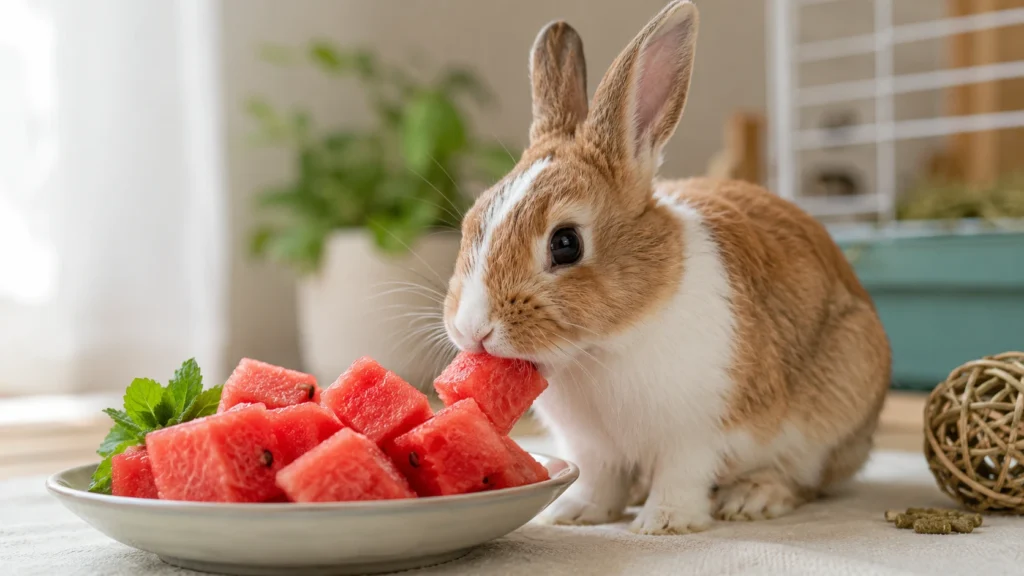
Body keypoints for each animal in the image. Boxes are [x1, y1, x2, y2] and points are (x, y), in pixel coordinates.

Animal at [442, 0, 891, 534]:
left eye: (566, 244)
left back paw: (753, 498)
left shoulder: (694, 435)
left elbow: (681, 476)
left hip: (831, 410)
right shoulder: (593, 449)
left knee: (807, 479)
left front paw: (665, 523)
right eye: (472, 219)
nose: (473, 329)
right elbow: (599, 480)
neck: (600, 349)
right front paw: (576, 514)